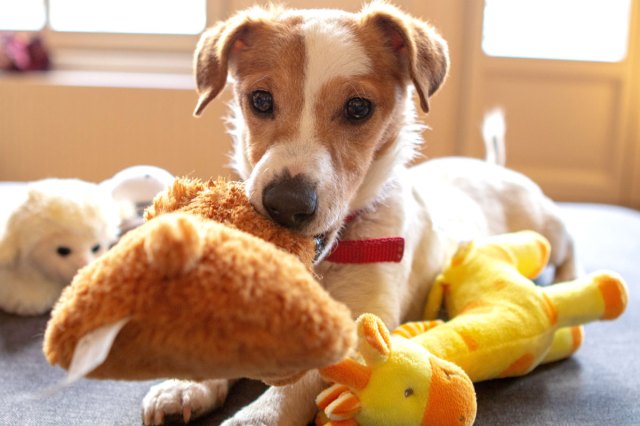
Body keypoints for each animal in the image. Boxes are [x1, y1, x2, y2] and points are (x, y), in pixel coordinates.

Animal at [142, 1, 576, 424]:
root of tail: (491, 166)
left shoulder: (367, 319)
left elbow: (304, 381)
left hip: (547, 228)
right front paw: (186, 385)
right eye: (260, 100)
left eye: (358, 108)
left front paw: (258, 416)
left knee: (570, 247)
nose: (286, 204)